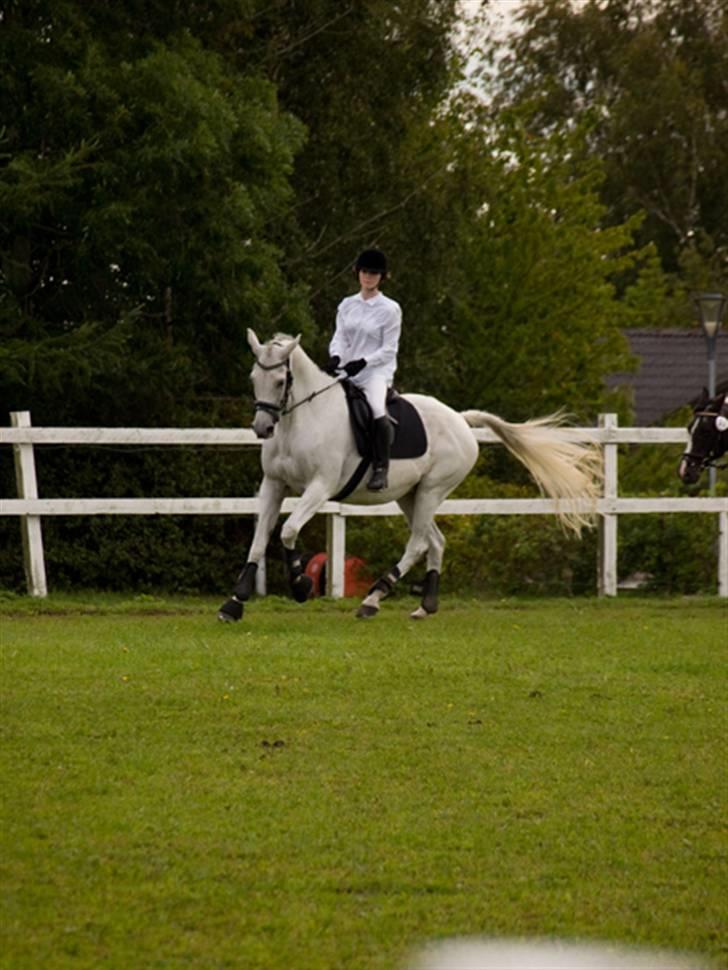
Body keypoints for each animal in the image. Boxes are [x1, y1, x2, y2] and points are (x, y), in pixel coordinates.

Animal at [218, 330, 604, 620]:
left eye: (281, 379)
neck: (301, 420)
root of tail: (460, 419)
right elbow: (260, 539)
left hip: (433, 489)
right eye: (254, 378)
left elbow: (288, 530)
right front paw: (234, 602)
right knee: (435, 541)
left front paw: (300, 586)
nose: (262, 427)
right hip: (410, 496)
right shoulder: (274, 484)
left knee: (418, 542)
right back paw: (424, 604)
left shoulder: (320, 487)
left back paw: (373, 598)